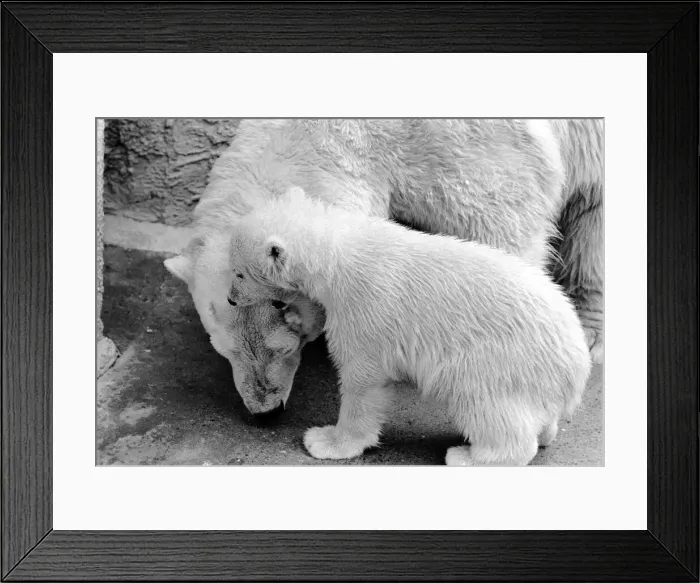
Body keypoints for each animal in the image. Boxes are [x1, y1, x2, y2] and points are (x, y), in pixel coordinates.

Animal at [226, 188, 592, 466]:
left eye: (239, 273)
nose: (230, 299)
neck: (338, 251)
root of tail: (577, 370)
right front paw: (295, 315)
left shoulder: (366, 308)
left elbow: (363, 378)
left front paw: (327, 441)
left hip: (502, 360)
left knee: (482, 401)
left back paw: (467, 455)